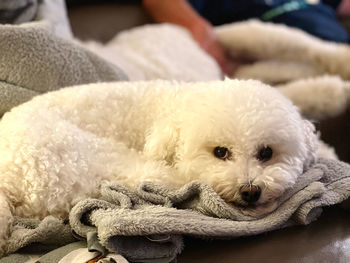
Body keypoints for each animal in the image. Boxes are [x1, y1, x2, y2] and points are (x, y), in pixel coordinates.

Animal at [0, 79, 318, 254]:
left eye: (266, 152)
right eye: (220, 152)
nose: (250, 191)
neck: (177, 111)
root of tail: (8, 181)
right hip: (97, 161)